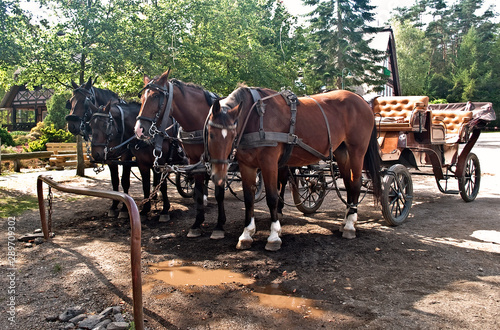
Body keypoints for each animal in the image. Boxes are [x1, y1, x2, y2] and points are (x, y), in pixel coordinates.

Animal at [134, 71, 226, 238]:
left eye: (155, 96)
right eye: (142, 97)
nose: (139, 129)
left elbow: (219, 193)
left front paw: (219, 226)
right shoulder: (194, 161)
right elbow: (197, 191)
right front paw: (197, 223)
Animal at [205, 87, 380, 250]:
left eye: (232, 135)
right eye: (210, 134)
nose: (218, 176)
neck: (255, 116)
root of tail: (361, 100)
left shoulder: (269, 163)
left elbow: (272, 198)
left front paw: (274, 236)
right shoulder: (246, 165)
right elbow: (249, 199)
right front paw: (246, 234)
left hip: (357, 150)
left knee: (356, 184)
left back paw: (350, 225)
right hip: (341, 151)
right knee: (349, 184)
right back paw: (346, 221)